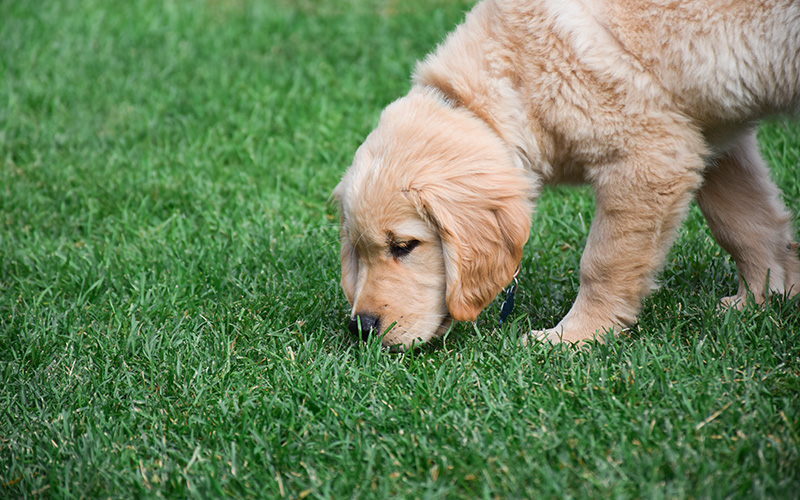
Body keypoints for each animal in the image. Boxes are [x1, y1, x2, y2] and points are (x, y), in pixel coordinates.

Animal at [332, 0, 800, 348]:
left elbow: (604, 261)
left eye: (404, 246)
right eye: (358, 251)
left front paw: (574, 337)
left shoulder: (650, 153)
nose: (362, 328)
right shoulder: (708, 134)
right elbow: (744, 223)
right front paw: (762, 299)